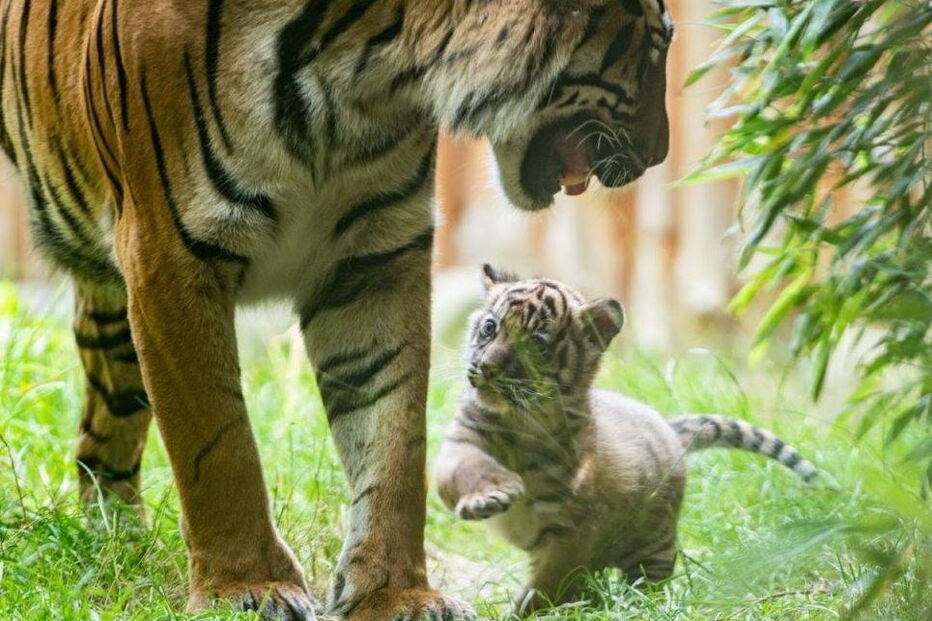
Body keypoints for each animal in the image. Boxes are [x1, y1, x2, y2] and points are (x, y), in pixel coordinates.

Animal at [0, 1, 673, 620]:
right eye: (661, 44)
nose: (658, 155)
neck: (361, 65)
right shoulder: (170, 253)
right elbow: (217, 445)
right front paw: (246, 588)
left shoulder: (375, 258)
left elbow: (394, 438)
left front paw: (397, 594)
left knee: (103, 430)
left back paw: (116, 541)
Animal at [435, 265, 821, 613]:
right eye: (490, 327)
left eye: (537, 343)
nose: (488, 368)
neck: (521, 421)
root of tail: (667, 427)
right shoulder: (462, 441)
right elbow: (464, 467)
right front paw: (488, 497)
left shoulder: (574, 529)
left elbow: (549, 584)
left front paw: (527, 611)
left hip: (654, 542)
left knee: (648, 580)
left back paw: (637, 607)